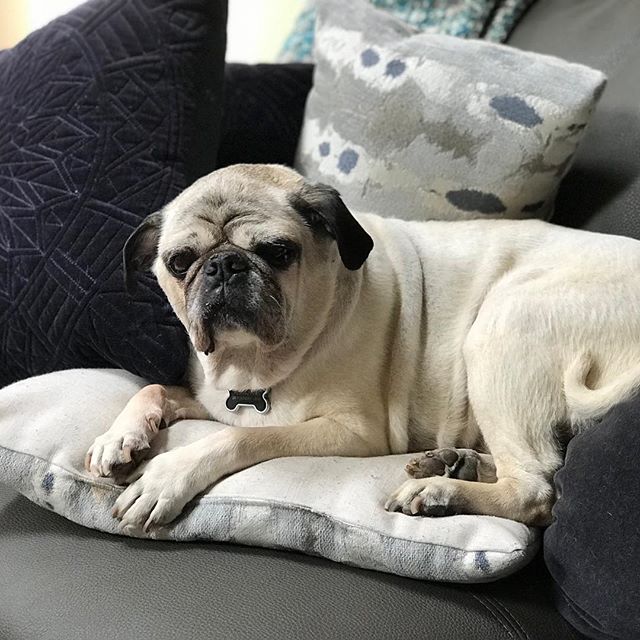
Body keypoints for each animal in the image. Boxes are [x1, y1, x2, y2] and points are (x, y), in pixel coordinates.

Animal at [85, 162, 640, 532]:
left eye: (278, 253)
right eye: (180, 263)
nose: (223, 265)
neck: (251, 364)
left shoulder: (352, 431)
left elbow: (238, 439)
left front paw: (168, 475)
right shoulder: (209, 399)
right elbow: (154, 390)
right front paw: (118, 435)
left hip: (503, 326)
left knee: (535, 490)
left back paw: (441, 491)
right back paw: (454, 464)